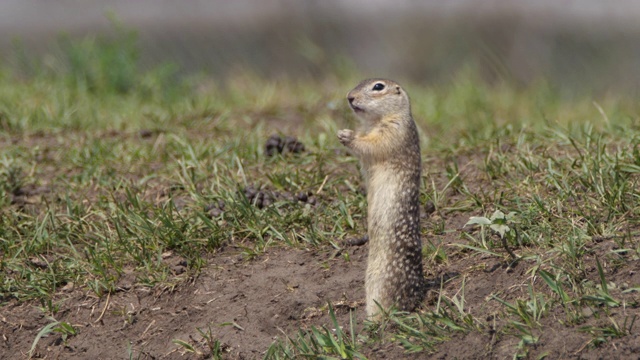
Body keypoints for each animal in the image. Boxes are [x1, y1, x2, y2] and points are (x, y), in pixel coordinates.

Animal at [336, 78, 424, 318]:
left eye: (378, 87)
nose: (349, 97)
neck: (375, 122)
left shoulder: (394, 130)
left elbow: (372, 144)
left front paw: (347, 135)